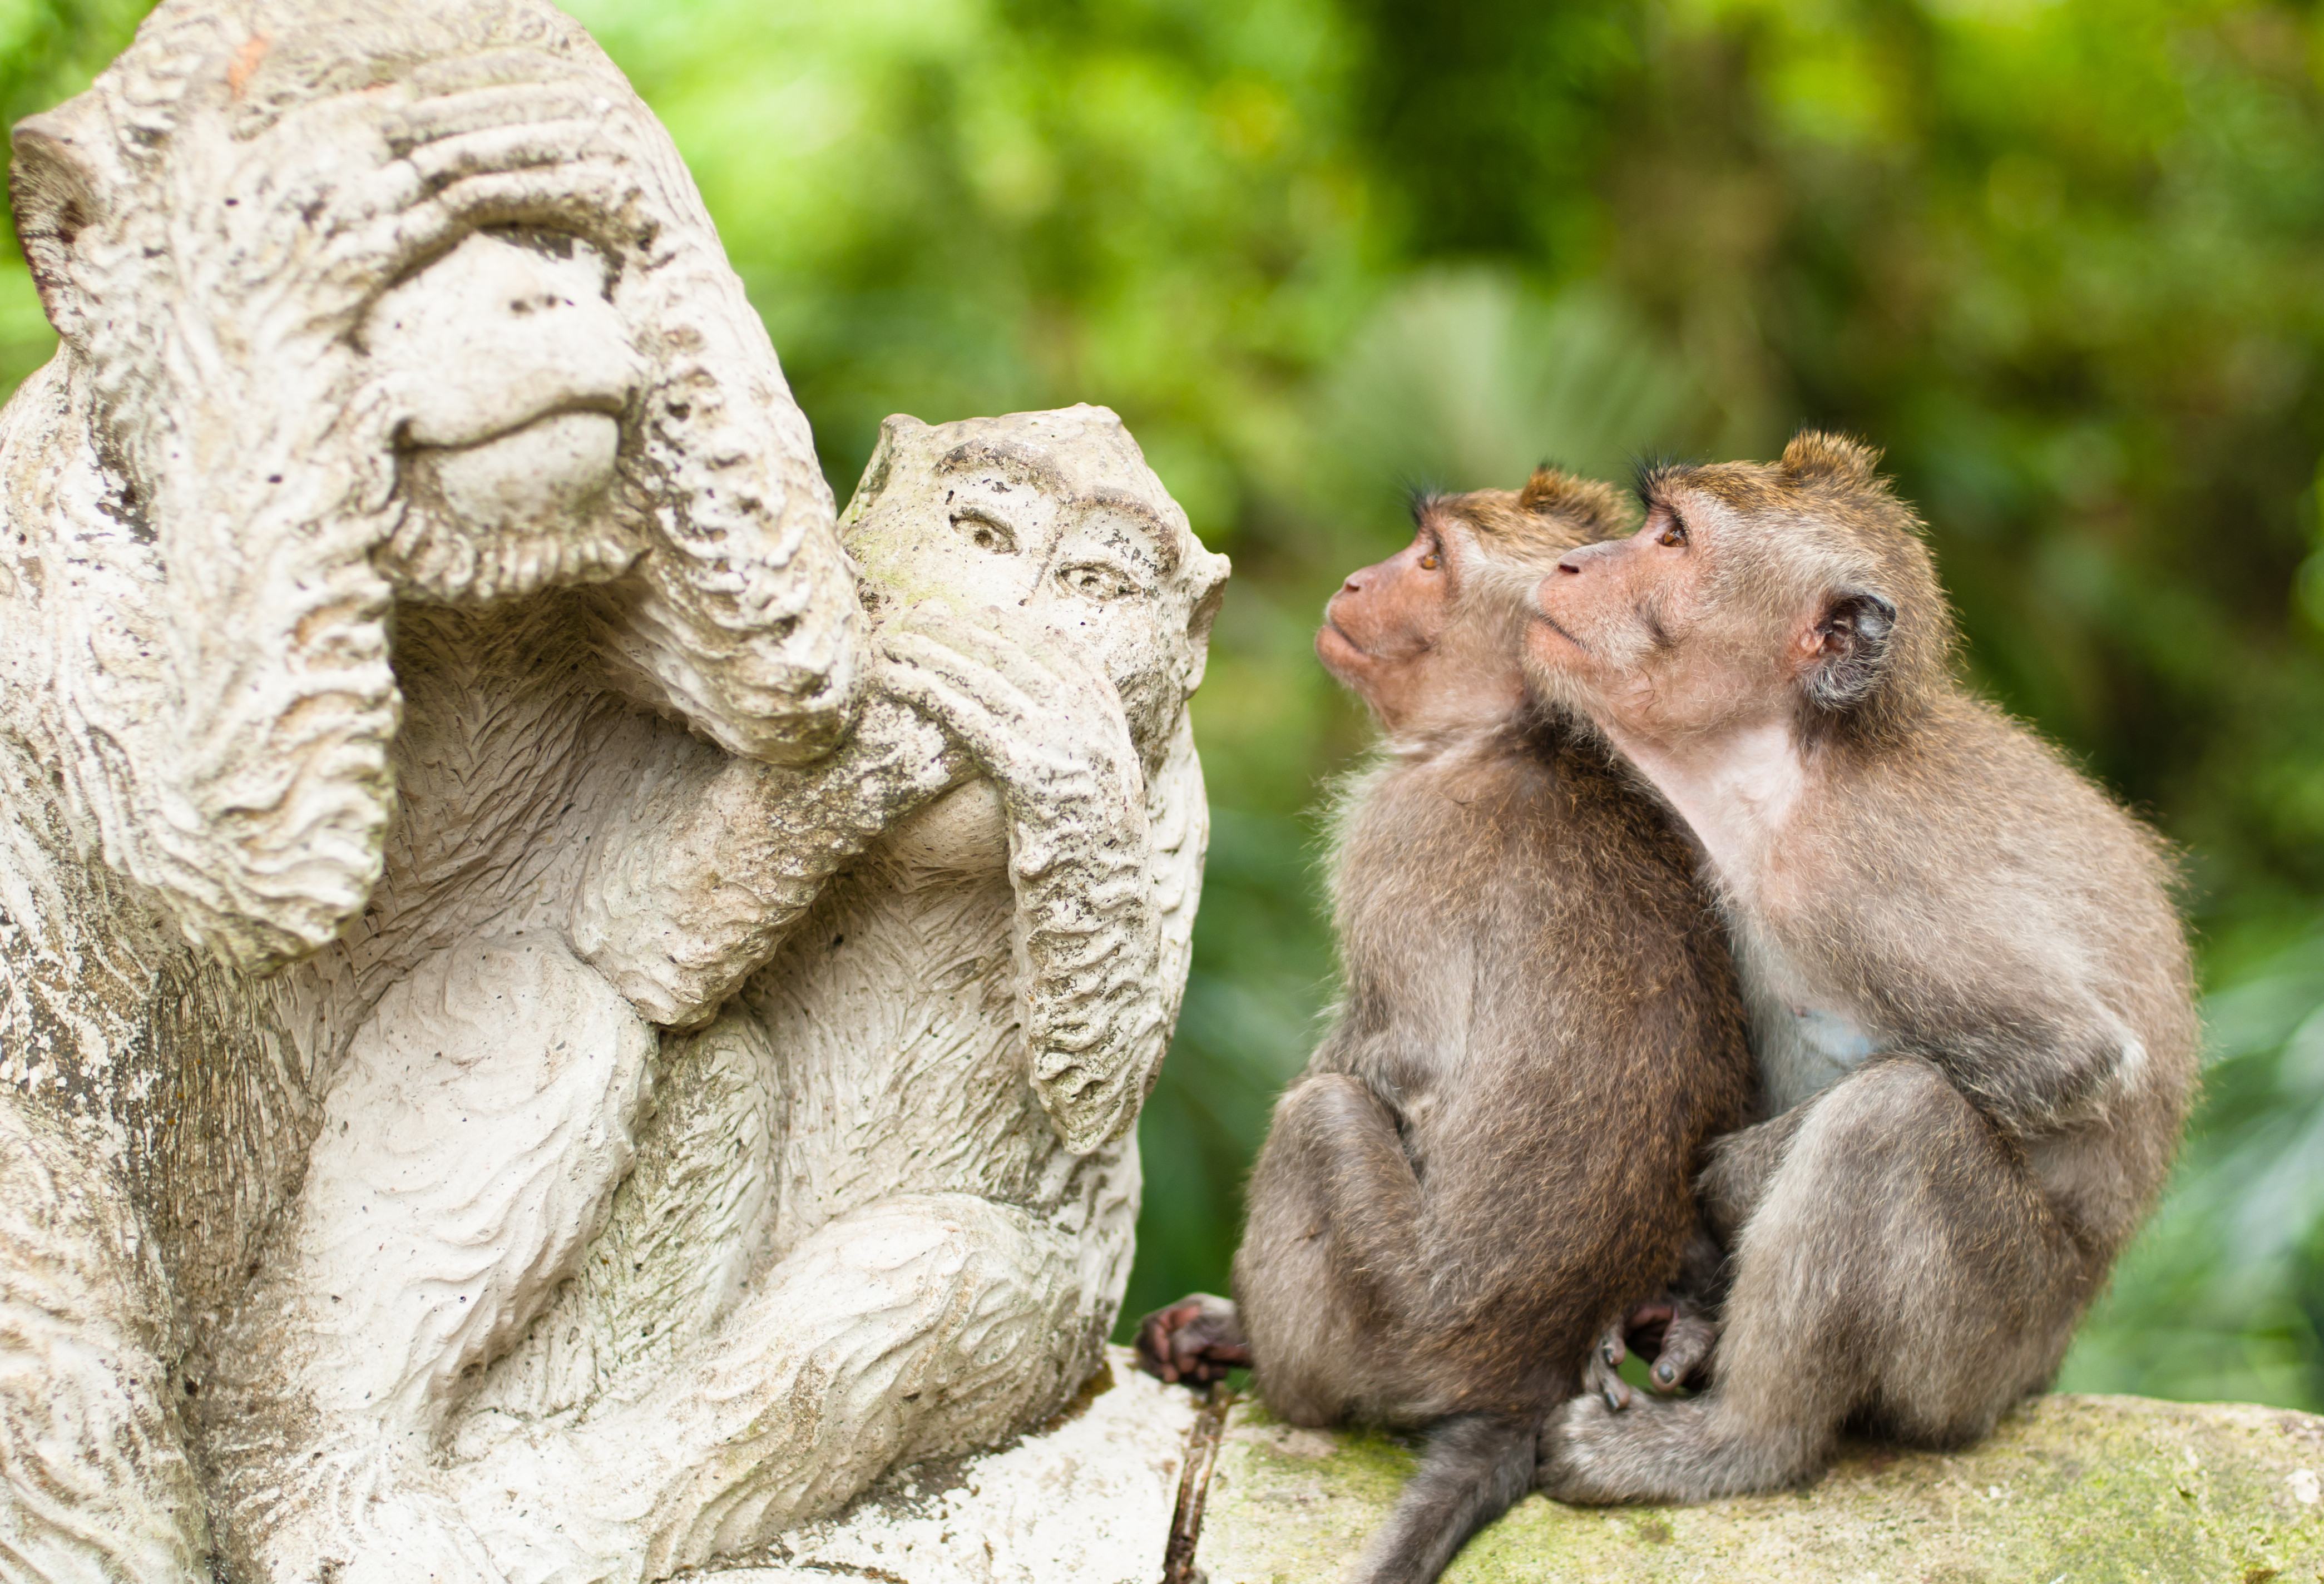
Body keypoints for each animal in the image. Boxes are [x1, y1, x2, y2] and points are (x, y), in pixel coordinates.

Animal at [1136, 471, 1753, 1584]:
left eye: (1429, 560)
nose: (1354, 580)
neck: (1513, 730)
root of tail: (1519, 1380)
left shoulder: (1398, 828)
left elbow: (1398, 1057)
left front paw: (1225, 1316)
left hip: (1392, 1325)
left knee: (1321, 1117)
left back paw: (1268, 1361)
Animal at [1524, 431, 2198, 1504]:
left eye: (1670, 538)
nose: (1572, 564)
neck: (1789, 767)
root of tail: (2043, 1364)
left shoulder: (1854, 876)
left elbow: (2071, 1055)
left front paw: (1727, 1183)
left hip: (1983, 1345)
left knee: (1891, 1121)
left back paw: (1737, 1442)